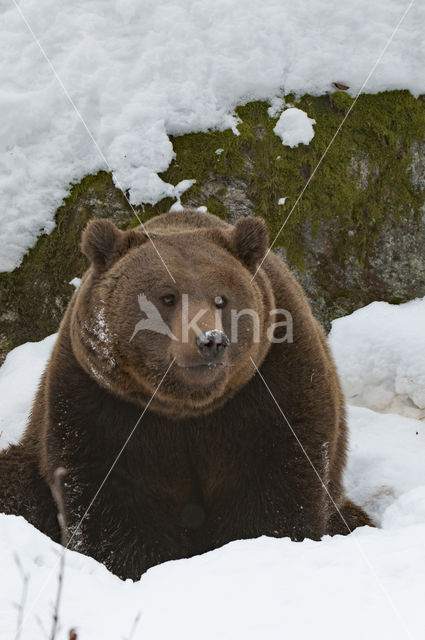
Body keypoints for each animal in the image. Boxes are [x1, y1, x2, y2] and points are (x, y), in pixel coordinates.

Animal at [0, 210, 372, 580]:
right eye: (167, 297)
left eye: (221, 298)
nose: (210, 340)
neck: (185, 407)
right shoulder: (101, 401)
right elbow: (110, 498)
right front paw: (136, 564)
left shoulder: (273, 386)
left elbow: (277, 482)